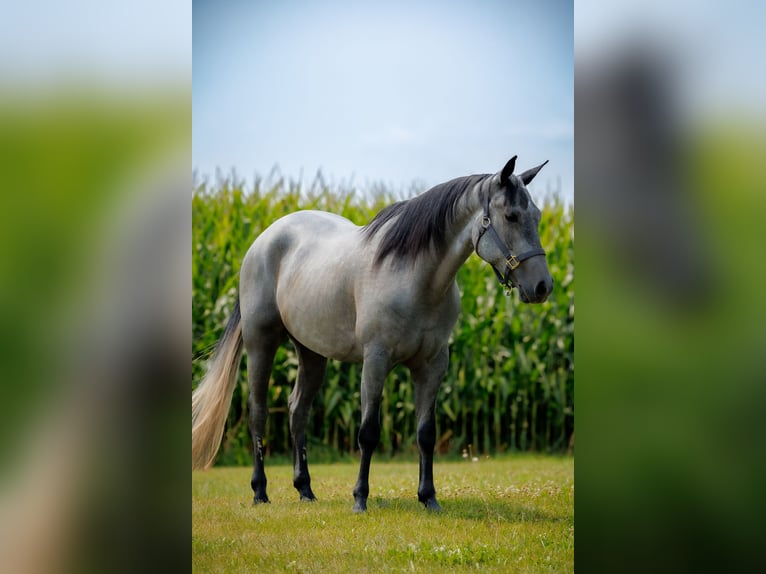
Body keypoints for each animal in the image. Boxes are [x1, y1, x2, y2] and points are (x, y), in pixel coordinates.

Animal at [192, 156, 553, 512]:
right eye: (511, 215)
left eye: (537, 215)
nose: (543, 286)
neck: (414, 277)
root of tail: (262, 241)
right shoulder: (376, 359)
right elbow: (368, 431)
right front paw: (360, 499)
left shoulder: (433, 365)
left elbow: (426, 432)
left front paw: (429, 498)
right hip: (260, 343)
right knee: (258, 412)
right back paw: (260, 492)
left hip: (311, 352)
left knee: (298, 411)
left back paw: (305, 489)